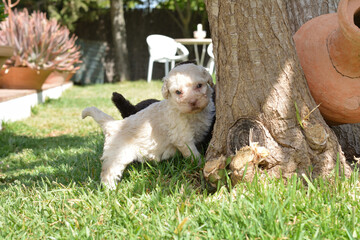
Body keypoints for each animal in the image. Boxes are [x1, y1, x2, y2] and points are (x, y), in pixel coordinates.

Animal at [82, 64, 214, 189]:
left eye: (199, 85)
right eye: (178, 92)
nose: (193, 102)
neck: (190, 114)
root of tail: (114, 124)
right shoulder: (183, 138)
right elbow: (193, 154)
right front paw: (201, 164)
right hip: (116, 156)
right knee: (108, 173)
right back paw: (110, 190)